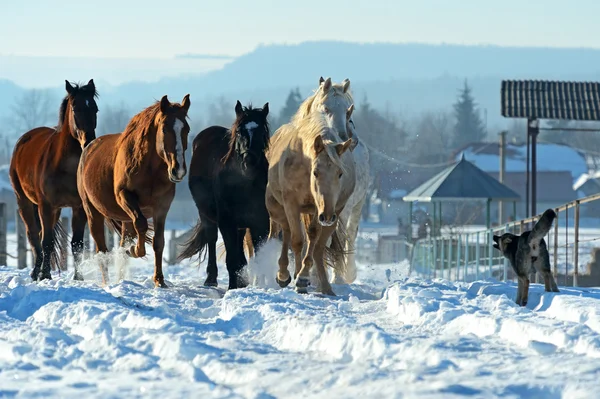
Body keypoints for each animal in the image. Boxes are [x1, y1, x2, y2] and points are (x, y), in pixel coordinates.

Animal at [9, 79, 98, 282]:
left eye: (95, 108)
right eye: (75, 108)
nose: (89, 141)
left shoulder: (78, 207)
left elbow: (77, 243)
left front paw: (78, 278)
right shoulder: (46, 205)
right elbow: (47, 241)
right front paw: (45, 275)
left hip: (55, 210)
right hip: (25, 202)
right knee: (34, 235)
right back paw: (36, 273)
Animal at [77, 94, 190, 288]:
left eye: (187, 129)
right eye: (165, 129)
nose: (179, 170)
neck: (149, 169)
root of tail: (88, 148)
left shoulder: (162, 207)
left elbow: (158, 242)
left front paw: (159, 280)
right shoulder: (125, 196)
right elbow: (142, 225)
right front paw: (134, 250)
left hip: (125, 219)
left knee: (123, 240)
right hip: (93, 212)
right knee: (101, 250)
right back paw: (107, 283)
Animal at [177, 101, 270, 290]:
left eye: (262, 132)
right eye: (240, 131)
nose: (249, 162)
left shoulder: (260, 221)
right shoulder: (226, 222)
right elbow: (231, 259)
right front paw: (233, 287)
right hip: (207, 216)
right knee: (212, 240)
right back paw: (211, 279)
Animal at [264, 110, 354, 296]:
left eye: (340, 173)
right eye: (316, 172)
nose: (327, 215)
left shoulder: (320, 211)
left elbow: (312, 238)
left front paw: (303, 277)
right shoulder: (291, 204)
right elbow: (297, 240)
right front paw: (293, 276)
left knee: (317, 248)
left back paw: (324, 286)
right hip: (277, 208)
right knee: (285, 231)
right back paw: (283, 274)